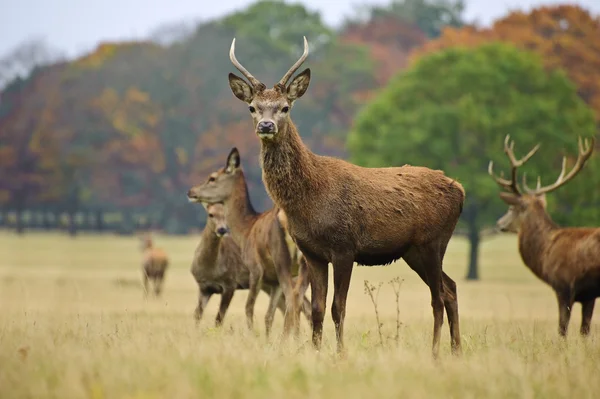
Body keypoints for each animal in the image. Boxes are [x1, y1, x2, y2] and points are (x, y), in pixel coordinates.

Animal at [186, 152, 310, 340]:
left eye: (212, 177)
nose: (191, 191)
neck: (246, 230)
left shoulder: (255, 268)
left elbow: (248, 308)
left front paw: (253, 336)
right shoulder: (273, 281)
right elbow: (268, 315)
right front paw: (267, 339)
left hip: (282, 258)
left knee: (293, 299)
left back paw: (287, 339)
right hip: (307, 264)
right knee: (301, 301)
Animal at [225, 36, 464, 358]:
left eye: (285, 107)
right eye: (252, 107)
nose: (266, 126)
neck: (309, 201)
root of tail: (460, 191)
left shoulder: (344, 246)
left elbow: (338, 307)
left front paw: (340, 354)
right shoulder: (312, 252)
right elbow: (316, 308)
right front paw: (315, 352)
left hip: (433, 241)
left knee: (438, 296)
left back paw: (436, 352)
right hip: (413, 250)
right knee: (450, 288)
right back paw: (456, 349)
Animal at [490, 134, 596, 338]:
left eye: (511, 208)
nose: (499, 223)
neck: (546, 250)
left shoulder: (563, 286)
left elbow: (562, 328)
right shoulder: (589, 295)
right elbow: (585, 330)